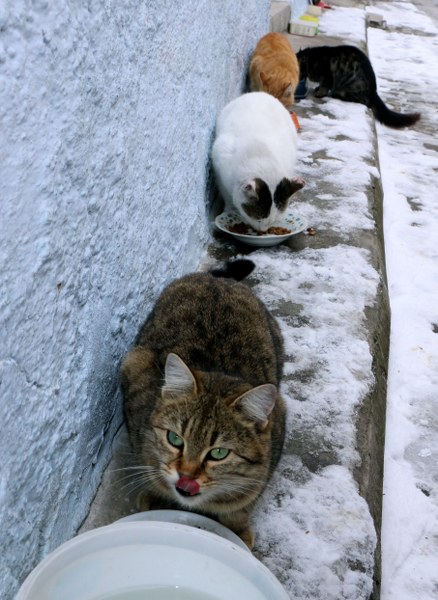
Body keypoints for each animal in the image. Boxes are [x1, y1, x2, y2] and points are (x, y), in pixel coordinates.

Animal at [120, 258, 286, 548]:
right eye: (174, 439)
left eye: (218, 453)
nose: (186, 477)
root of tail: (215, 278)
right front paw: (156, 496)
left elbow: (245, 499)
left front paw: (237, 527)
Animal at [212, 92, 304, 232]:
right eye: (259, 218)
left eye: (274, 220)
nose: (262, 231)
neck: (262, 158)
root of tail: (261, 93)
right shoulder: (220, 170)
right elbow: (226, 194)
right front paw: (230, 210)